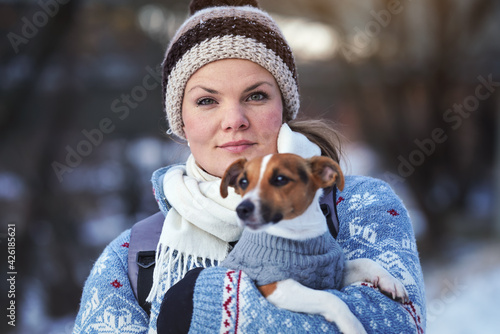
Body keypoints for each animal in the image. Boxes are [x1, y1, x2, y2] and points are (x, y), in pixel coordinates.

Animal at [221, 154, 408, 334]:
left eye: (280, 179)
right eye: (243, 182)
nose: (242, 209)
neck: (300, 233)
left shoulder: (332, 274)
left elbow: (366, 262)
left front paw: (391, 281)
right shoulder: (274, 284)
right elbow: (331, 298)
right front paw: (353, 326)